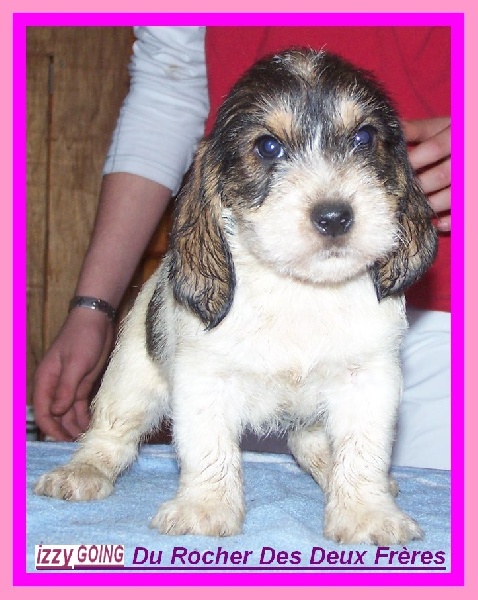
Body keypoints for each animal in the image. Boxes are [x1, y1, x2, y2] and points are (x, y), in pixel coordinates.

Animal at [35, 49, 437, 545]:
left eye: (364, 138)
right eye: (268, 147)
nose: (334, 217)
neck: (298, 290)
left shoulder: (367, 380)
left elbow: (362, 452)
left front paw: (366, 512)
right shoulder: (204, 380)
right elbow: (209, 448)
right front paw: (205, 508)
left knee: (309, 442)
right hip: (129, 381)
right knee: (110, 435)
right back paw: (82, 472)